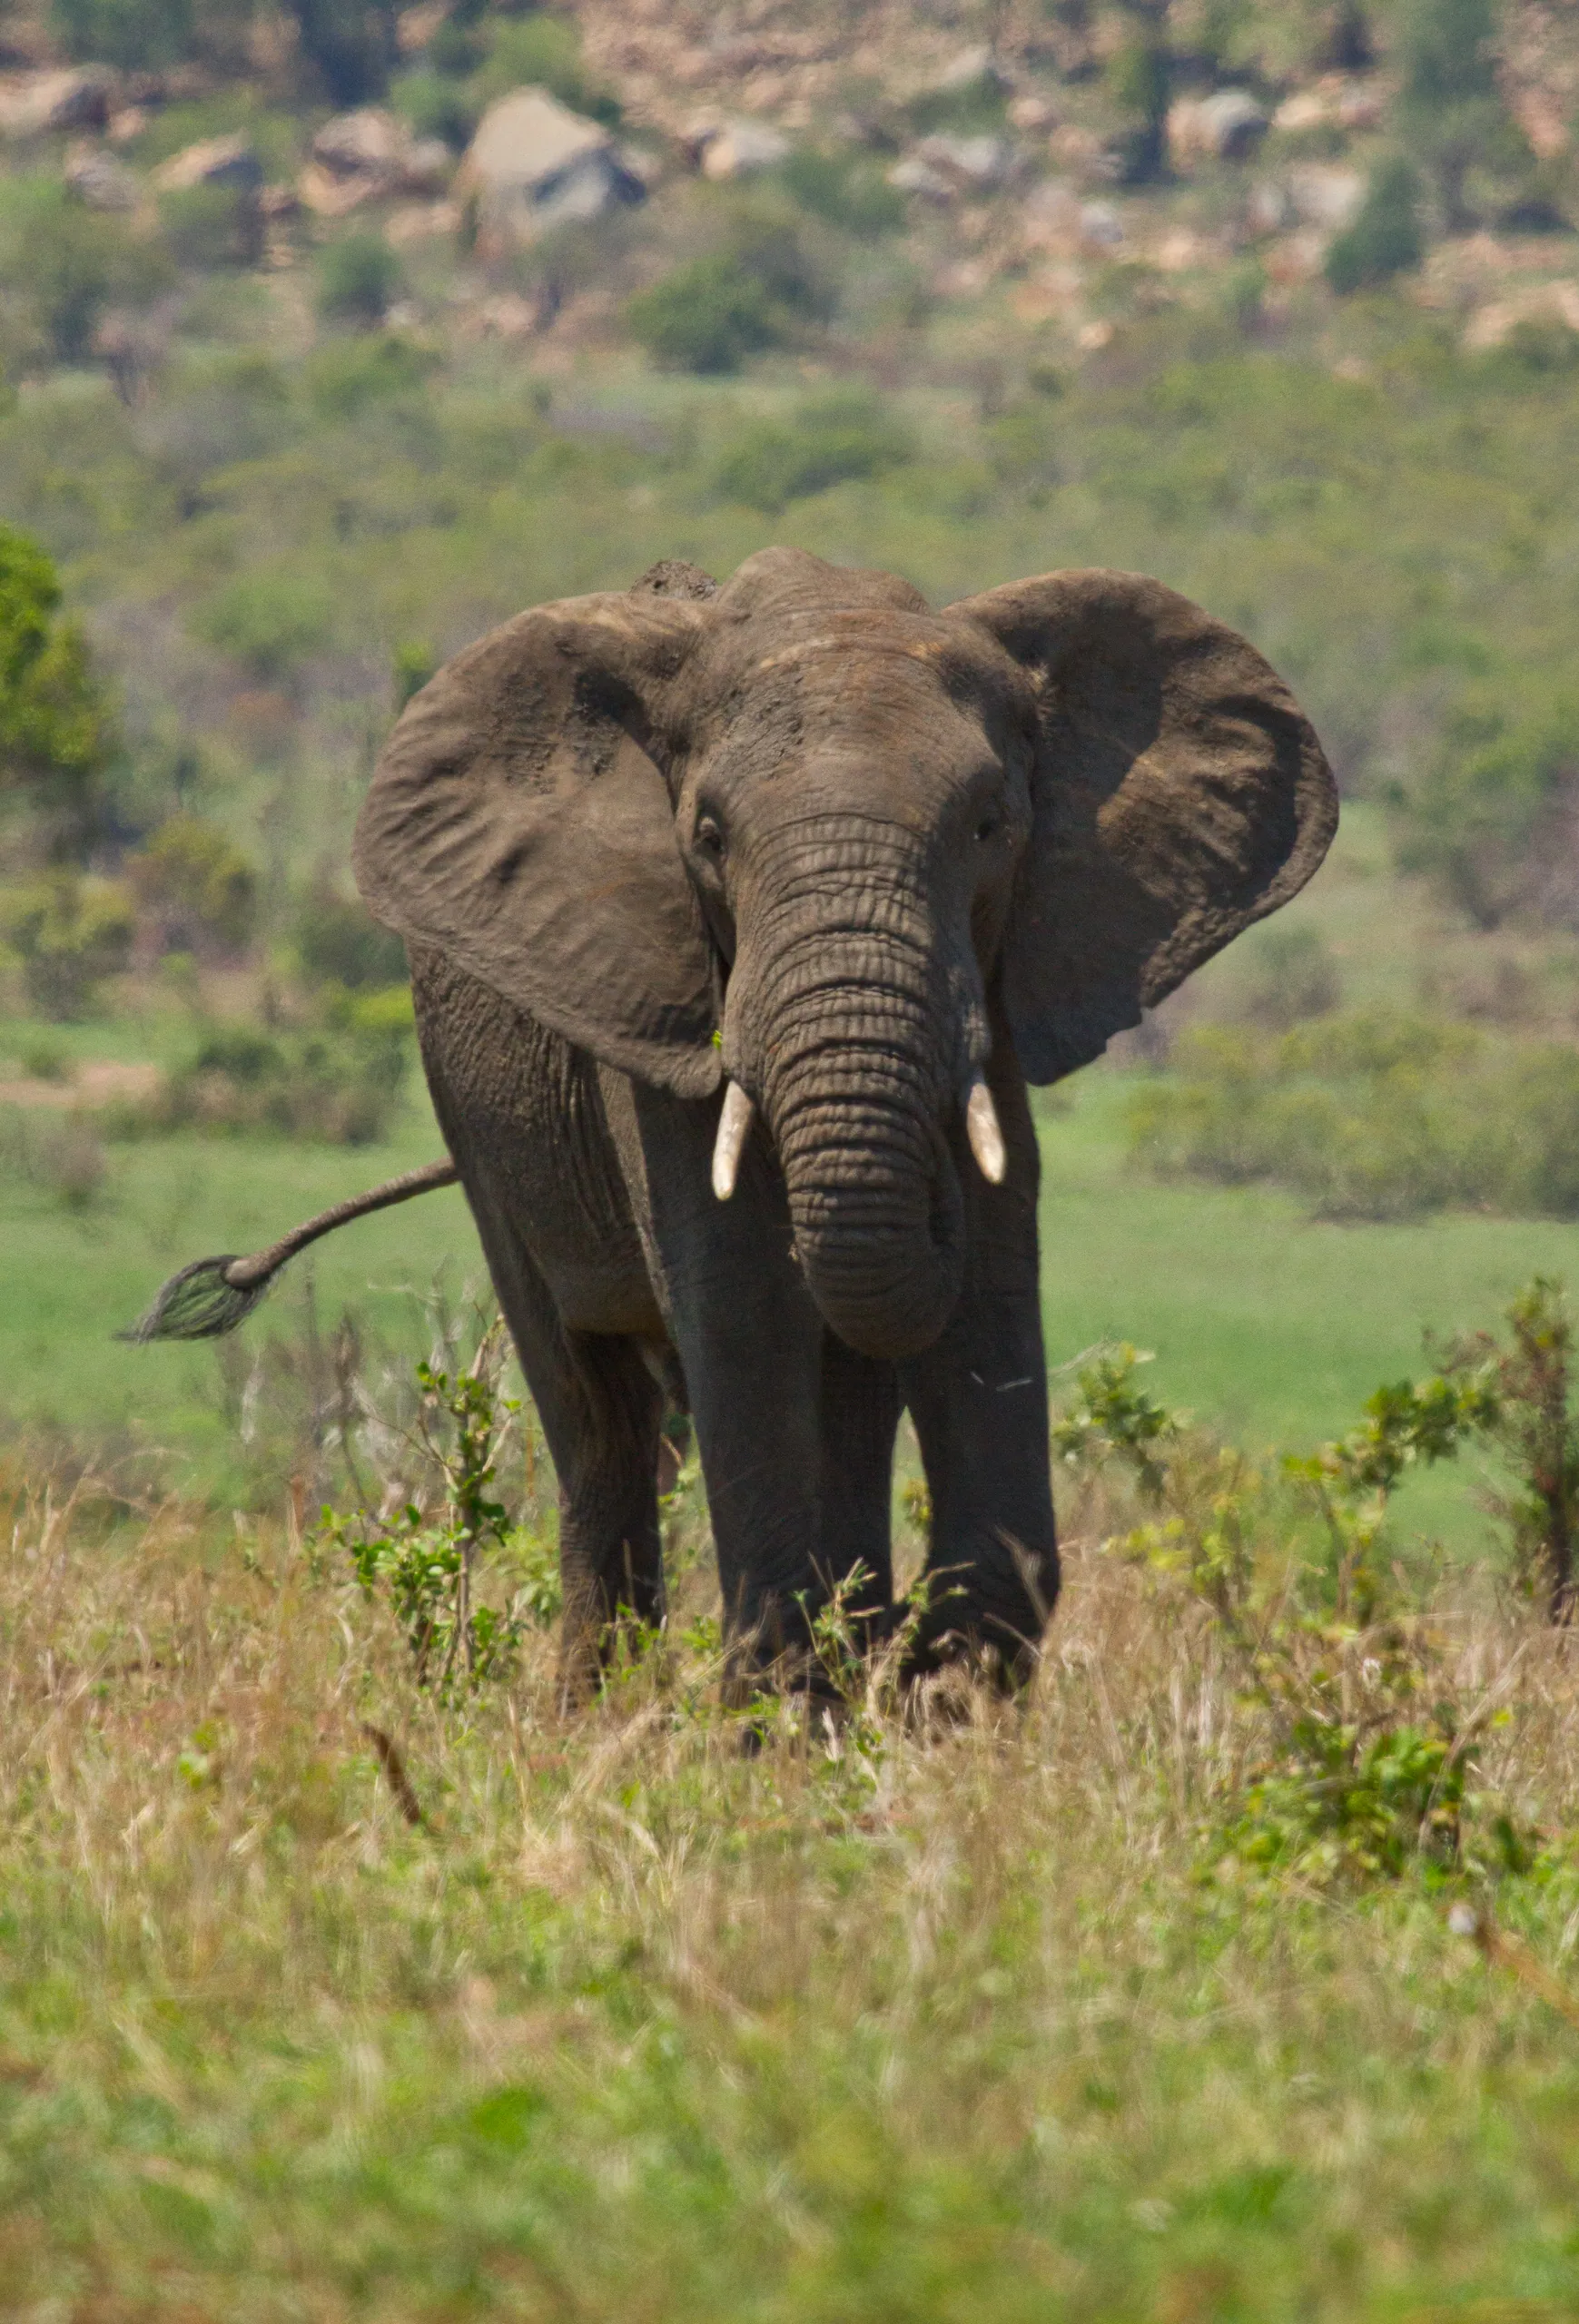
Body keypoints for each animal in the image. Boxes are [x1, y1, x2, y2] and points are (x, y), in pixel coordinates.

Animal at [131, 547, 1336, 1700]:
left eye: (991, 826)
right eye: (708, 836)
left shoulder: (1001, 1007)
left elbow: (983, 1295)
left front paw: (920, 1699)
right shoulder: (655, 1009)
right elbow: (742, 1304)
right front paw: (786, 1724)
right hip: (475, 1110)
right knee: (597, 1424)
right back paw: (598, 1720)